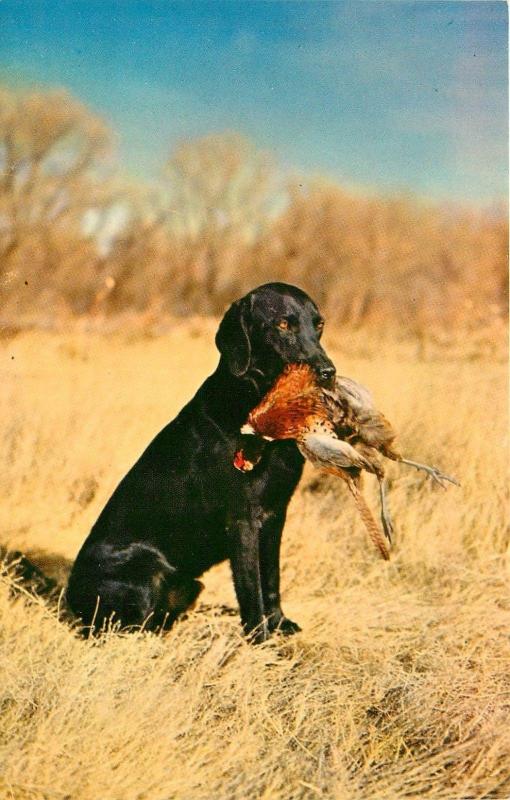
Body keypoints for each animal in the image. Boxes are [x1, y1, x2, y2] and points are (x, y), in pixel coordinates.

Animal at [67, 284, 336, 640]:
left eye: (319, 325)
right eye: (282, 324)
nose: (328, 373)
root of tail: (68, 593)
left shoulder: (276, 514)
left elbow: (272, 579)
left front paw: (280, 623)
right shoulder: (242, 520)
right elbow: (251, 587)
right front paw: (260, 637)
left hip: (191, 584)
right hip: (145, 568)